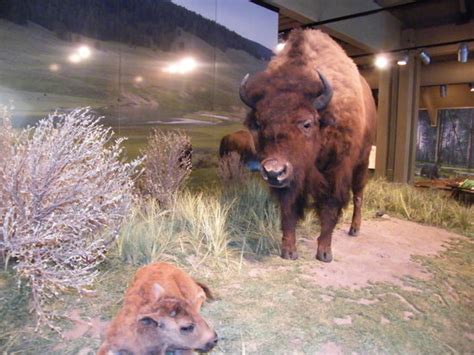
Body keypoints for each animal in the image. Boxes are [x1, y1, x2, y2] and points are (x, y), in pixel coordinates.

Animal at [239, 29, 376, 262]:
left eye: (306, 123)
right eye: (258, 123)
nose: (273, 171)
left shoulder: (336, 173)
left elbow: (330, 208)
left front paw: (324, 252)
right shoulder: (290, 179)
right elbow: (289, 210)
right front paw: (288, 251)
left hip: (362, 162)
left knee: (358, 195)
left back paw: (354, 229)